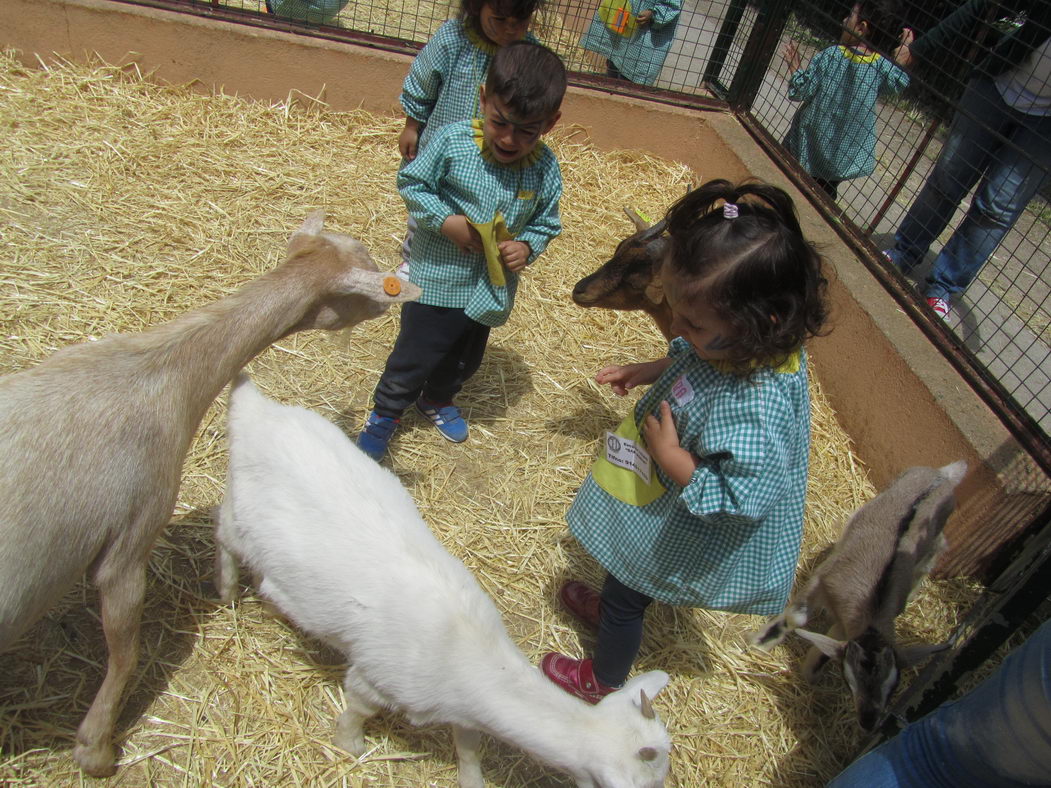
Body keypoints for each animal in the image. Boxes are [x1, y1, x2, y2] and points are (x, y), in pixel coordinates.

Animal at [0, 213, 418, 781]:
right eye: (371, 270)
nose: (394, 300)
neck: (160, 373)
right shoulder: (132, 535)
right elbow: (126, 651)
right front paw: (96, 750)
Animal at [215, 376, 672, 788]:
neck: (469, 656)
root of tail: (255, 410)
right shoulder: (374, 680)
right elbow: (357, 712)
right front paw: (350, 745)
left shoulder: (463, 714)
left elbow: (468, 748)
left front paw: (472, 780)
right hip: (239, 515)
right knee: (223, 536)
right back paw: (225, 590)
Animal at [752, 460, 962, 731]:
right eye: (851, 676)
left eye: (894, 686)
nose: (869, 721)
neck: (873, 605)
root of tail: (943, 476)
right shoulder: (823, 580)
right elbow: (797, 618)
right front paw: (760, 642)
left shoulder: (848, 621)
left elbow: (829, 641)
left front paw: (810, 673)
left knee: (935, 550)